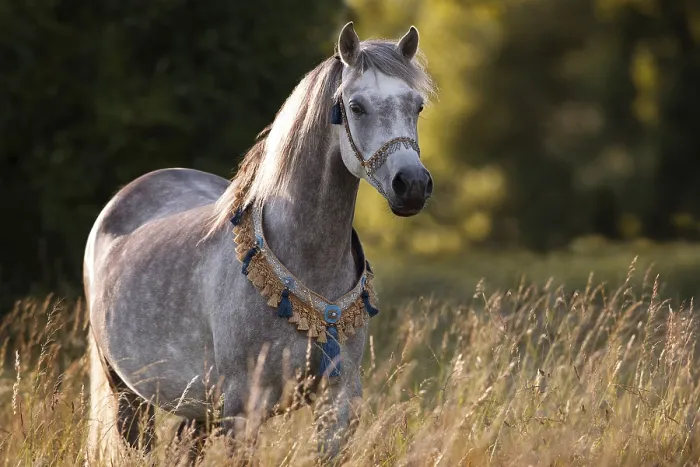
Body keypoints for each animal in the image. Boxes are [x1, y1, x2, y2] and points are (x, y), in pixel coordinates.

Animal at [84, 21, 436, 464]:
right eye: (356, 107)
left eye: (417, 106)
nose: (413, 186)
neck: (306, 263)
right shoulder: (243, 409)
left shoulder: (337, 403)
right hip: (127, 392)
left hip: (197, 408)